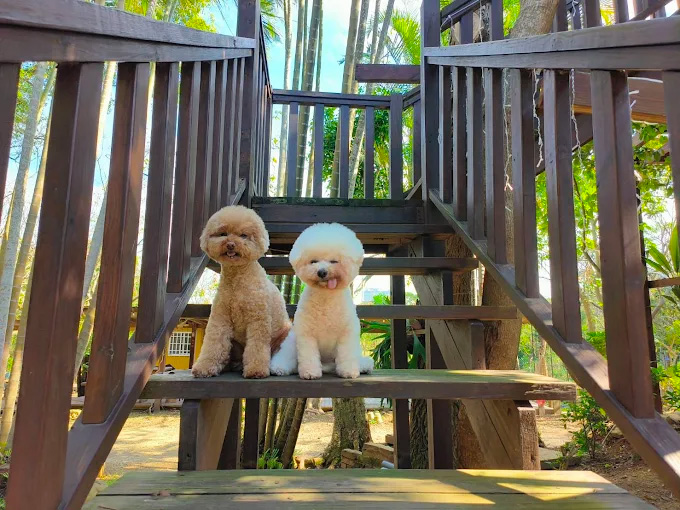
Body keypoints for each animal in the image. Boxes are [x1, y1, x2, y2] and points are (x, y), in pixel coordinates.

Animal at [191, 205, 290, 379]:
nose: (231, 244)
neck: (237, 280)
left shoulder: (258, 319)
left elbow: (257, 347)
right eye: (223, 234)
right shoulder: (220, 318)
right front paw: (204, 367)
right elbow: (213, 343)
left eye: (244, 235)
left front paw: (256, 370)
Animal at [270, 223, 373, 379]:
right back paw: (279, 368)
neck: (326, 297)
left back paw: (363, 366)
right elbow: (309, 356)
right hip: (292, 342)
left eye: (334, 261)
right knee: (287, 357)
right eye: (313, 261)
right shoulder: (307, 334)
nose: (322, 272)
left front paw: (348, 372)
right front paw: (310, 373)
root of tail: (326, 365)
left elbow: (347, 355)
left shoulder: (346, 333)